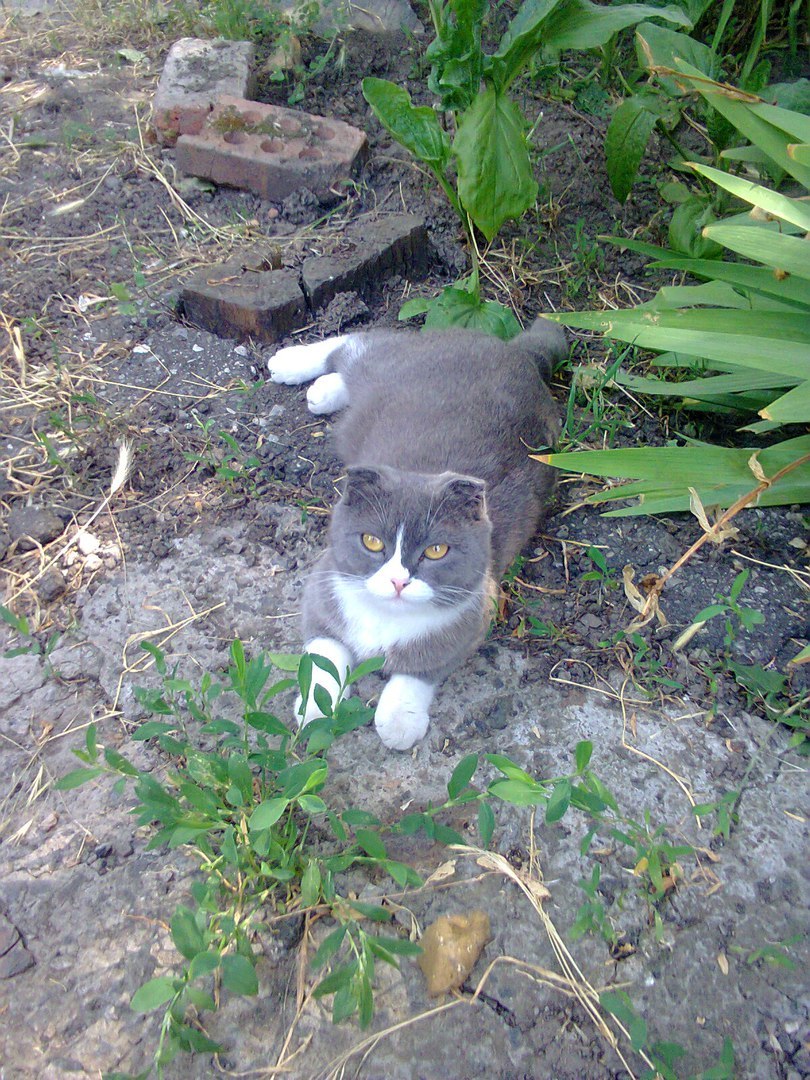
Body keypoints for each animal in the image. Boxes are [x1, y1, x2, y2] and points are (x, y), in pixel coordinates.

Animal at [266, 315, 565, 747]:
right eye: (372, 541)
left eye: (436, 551)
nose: (398, 581)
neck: (385, 618)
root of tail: (518, 352)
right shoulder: (322, 588)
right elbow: (324, 651)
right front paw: (318, 706)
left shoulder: (471, 618)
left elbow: (420, 668)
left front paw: (399, 720)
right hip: (390, 365)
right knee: (359, 342)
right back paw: (291, 362)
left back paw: (324, 389)